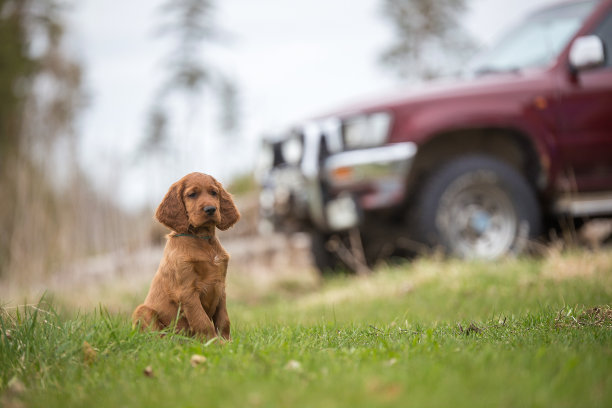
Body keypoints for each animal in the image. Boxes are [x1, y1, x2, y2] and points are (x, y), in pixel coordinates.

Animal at [133, 172, 240, 342]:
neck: (202, 238)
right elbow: (202, 321)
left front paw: (227, 341)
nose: (211, 209)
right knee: (156, 336)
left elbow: (224, 320)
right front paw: (213, 343)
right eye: (192, 194)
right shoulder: (187, 291)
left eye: (214, 193)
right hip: (142, 310)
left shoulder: (221, 288)